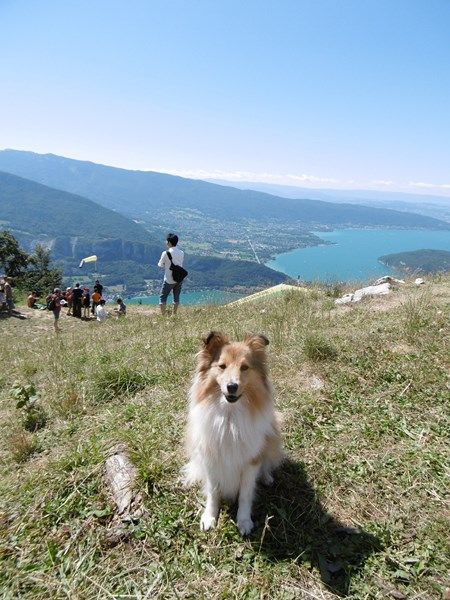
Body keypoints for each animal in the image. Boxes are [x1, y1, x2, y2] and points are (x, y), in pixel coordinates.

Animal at [182, 332, 282, 536]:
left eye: (245, 367)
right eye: (222, 366)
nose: (232, 386)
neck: (229, 418)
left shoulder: (251, 461)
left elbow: (245, 494)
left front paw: (244, 521)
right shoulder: (211, 459)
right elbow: (213, 492)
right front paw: (209, 517)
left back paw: (266, 477)